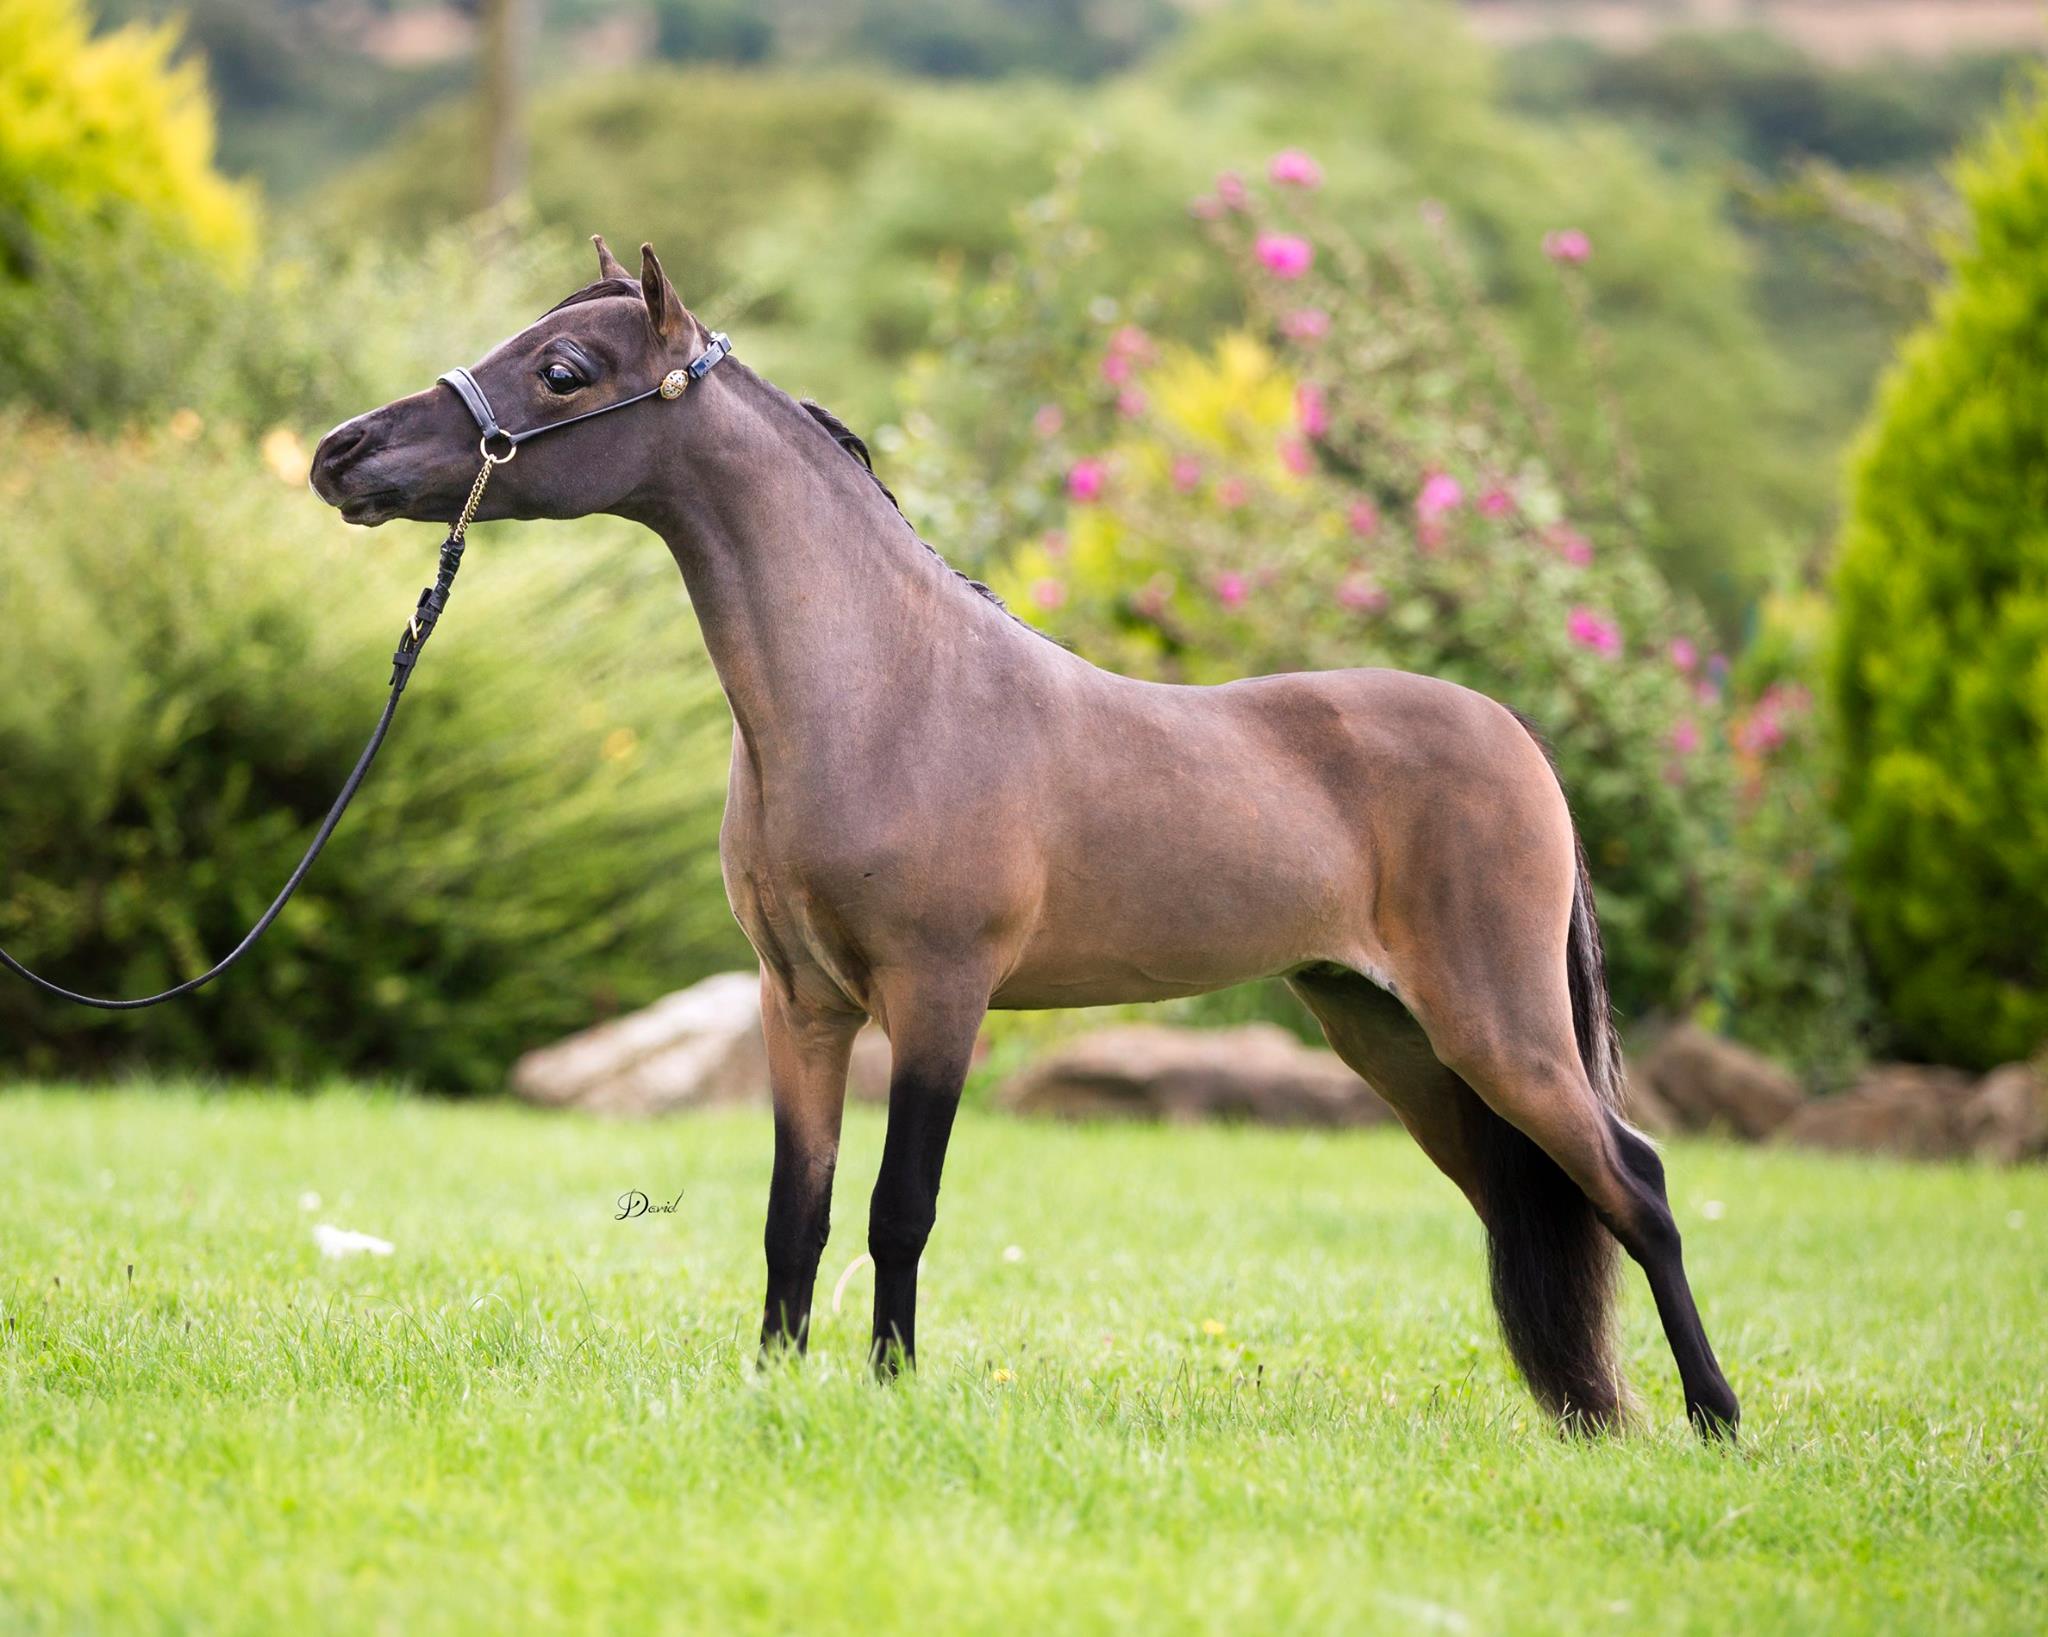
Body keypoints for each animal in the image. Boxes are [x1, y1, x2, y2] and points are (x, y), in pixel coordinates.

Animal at [310, 237, 1739, 1437]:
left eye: (561, 370)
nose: (341, 452)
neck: (883, 694)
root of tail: (1518, 741)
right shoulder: (800, 1003)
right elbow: (794, 1212)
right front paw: (775, 1384)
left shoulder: (938, 997)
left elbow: (898, 1208)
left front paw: (890, 1391)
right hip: (1394, 1037)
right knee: (1531, 1194)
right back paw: (1588, 1415)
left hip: (1495, 1027)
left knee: (1637, 1181)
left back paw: (1716, 1421)